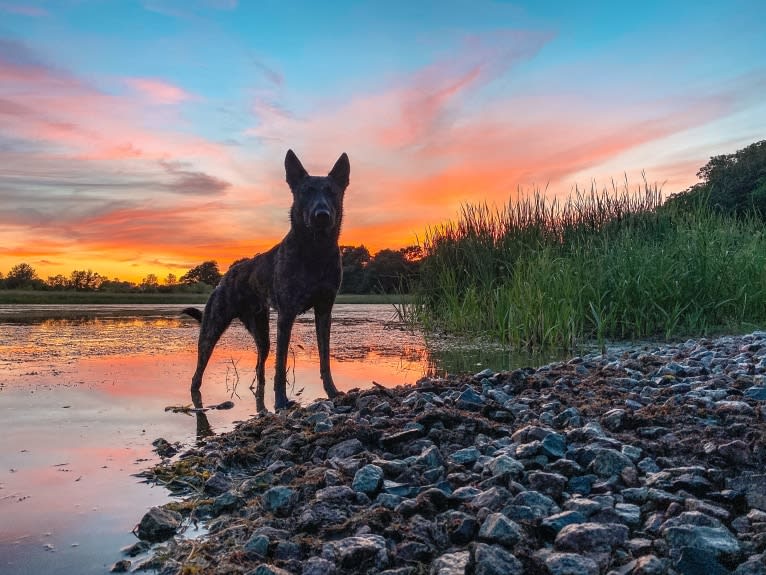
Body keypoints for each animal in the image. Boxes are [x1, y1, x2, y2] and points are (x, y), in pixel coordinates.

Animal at [184, 148, 352, 410]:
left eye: (332, 192)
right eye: (305, 192)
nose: (322, 215)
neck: (316, 252)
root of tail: (226, 277)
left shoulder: (324, 311)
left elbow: (324, 359)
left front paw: (332, 392)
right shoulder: (287, 315)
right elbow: (281, 365)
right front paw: (282, 401)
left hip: (262, 336)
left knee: (260, 367)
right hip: (211, 330)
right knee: (197, 375)